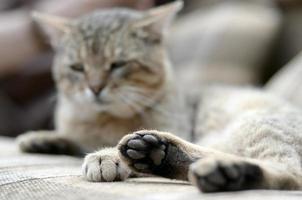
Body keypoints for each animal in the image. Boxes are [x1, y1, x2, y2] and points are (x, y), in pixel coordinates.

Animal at [17, 0, 302, 193]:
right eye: (78, 68)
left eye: (117, 65)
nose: (95, 88)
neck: (104, 120)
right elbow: (74, 139)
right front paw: (43, 138)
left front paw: (106, 155)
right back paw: (161, 154)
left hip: (255, 124)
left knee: (290, 176)